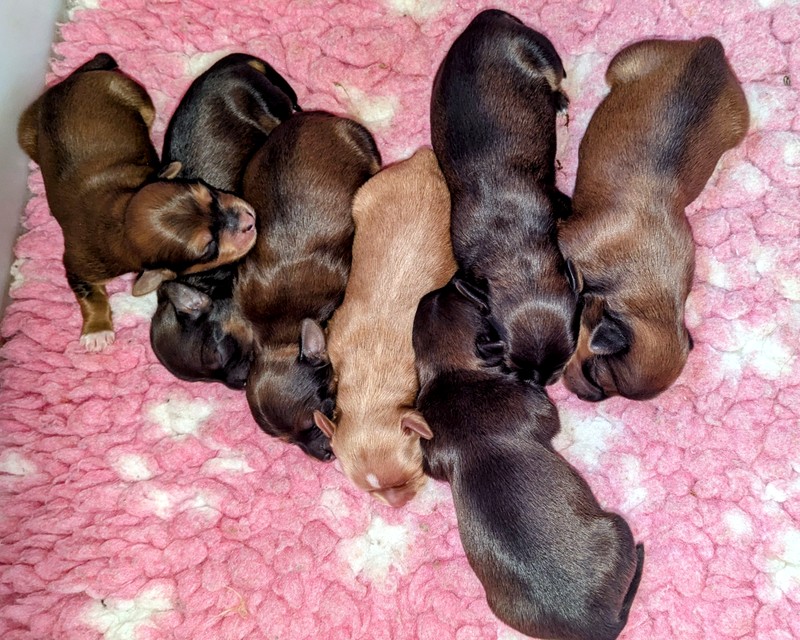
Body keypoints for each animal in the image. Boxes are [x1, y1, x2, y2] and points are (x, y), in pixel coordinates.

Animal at [17, 53, 256, 352]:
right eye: (209, 248)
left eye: (209, 193)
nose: (250, 219)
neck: (119, 215)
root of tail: (70, 79)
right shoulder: (79, 264)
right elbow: (89, 294)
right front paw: (97, 332)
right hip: (28, 133)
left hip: (133, 96)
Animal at [150, 53, 300, 387]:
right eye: (206, 382)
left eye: (219, 353)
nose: (238, 384)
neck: (209, 281)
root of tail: (223, 65)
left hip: (270, 103)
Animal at [241, 112, 381, 461]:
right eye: (288, 441)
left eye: (324, 412)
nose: (325, 456)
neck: (282, 330)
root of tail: (311, 116)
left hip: (361, 141)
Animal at [413, 280, 645, 640]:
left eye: (432, 298)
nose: (449, 283)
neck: (450, 370)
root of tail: (599, 626)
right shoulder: (535, 407)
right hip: (617, 528)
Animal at [430, 9, 579, 386]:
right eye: (514, 369)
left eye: (562, 364)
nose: (540, 382)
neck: (516, 253)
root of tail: (484, 19)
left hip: (543, 55)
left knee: (556, 78)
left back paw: (558, 101)